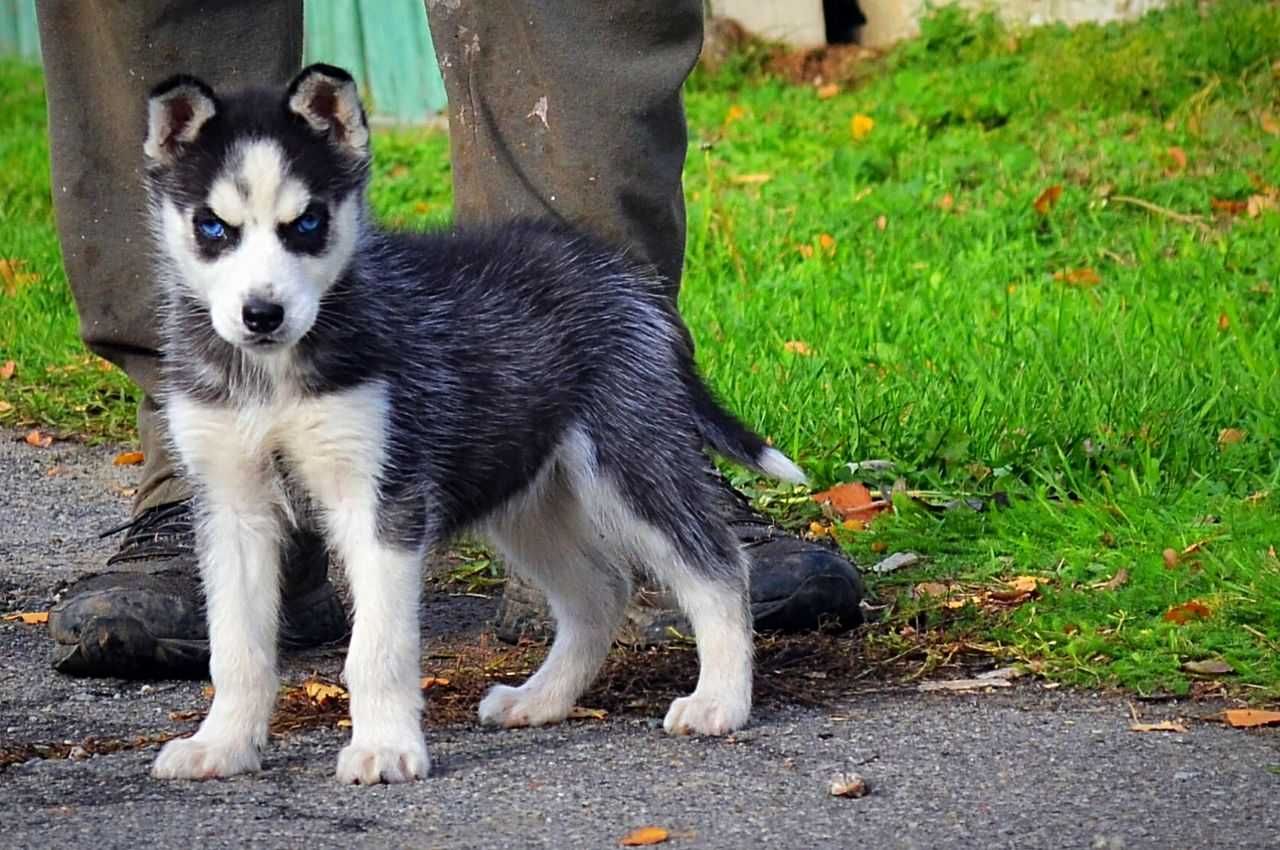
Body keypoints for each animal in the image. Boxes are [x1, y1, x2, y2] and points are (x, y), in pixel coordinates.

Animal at [140, 64, 798, 783]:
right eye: (213, 228)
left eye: (307, 222)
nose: (262, 315)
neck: (272, 376)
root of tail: (621, 273)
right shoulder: (232, 507)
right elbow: (235, 647)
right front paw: (223, 743)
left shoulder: (384, 502)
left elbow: (376, 648)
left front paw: (384, 746)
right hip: (525, 490)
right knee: (601, 589)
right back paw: (542, 699)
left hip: (628, 458)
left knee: (719, 570)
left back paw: (719, 700)